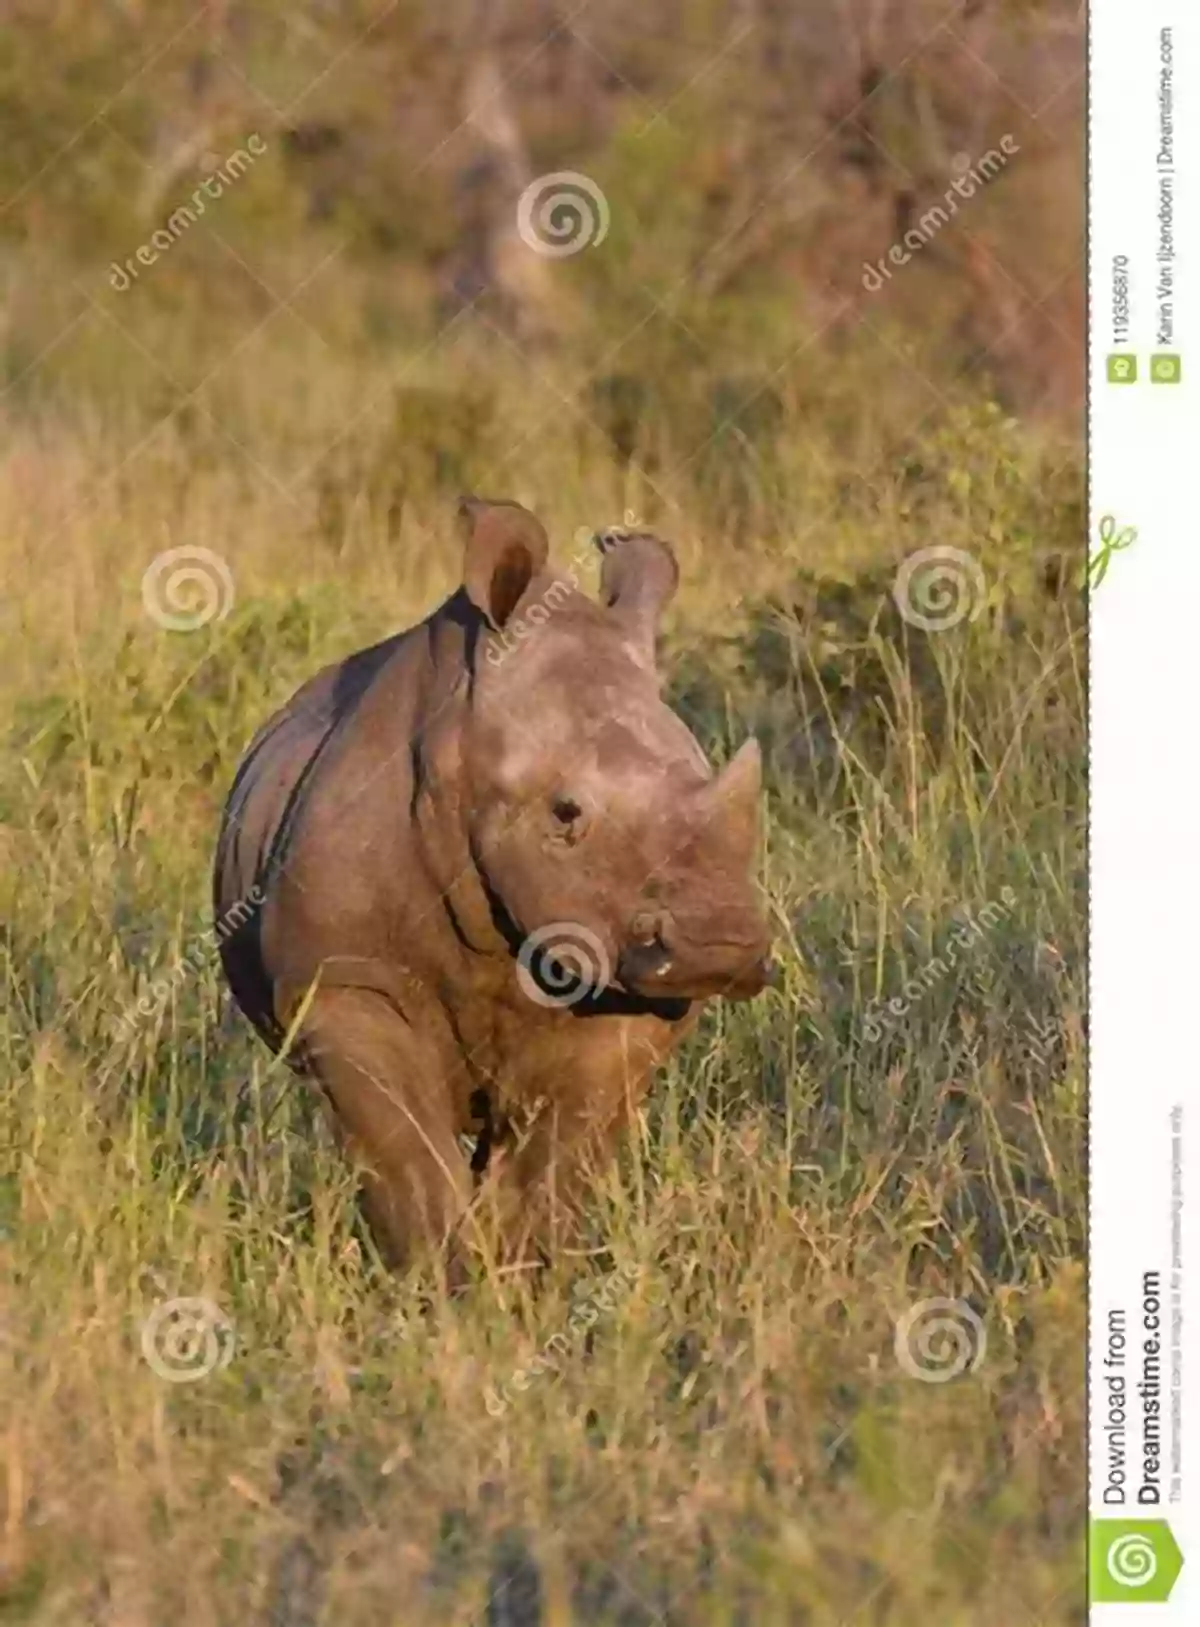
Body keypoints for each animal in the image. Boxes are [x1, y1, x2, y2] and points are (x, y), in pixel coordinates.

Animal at [214, 501, 770, 1275]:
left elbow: (557, 1160)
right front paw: (439, 1276)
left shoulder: (619, 981)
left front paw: (516, 1273)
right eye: (565, 814)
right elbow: (407, 1155)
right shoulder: (347, 983)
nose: (721, 945)